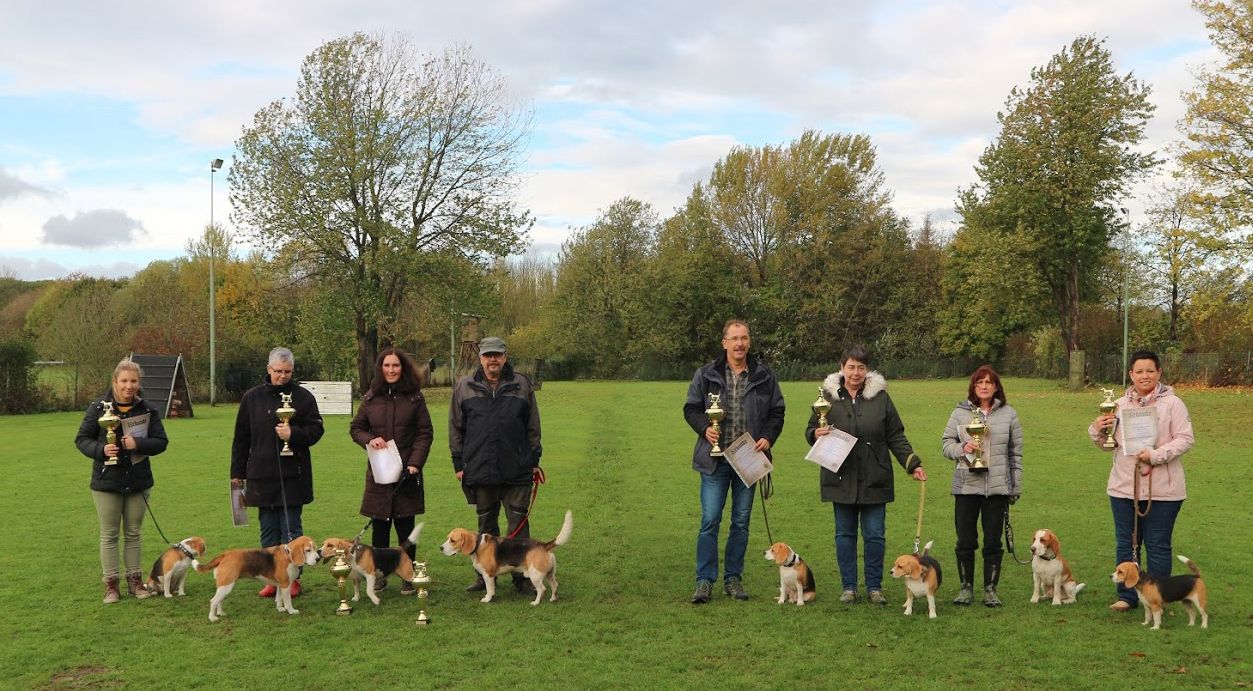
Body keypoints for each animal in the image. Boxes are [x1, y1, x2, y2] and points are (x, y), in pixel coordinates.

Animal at [443, 509, 573, 606]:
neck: (478, 544)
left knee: (542, 589)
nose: (440, 548)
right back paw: (553, 599)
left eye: (453, 540)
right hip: (549, 573)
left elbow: (490, 589)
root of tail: (544, 545)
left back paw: (536, 602)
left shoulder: (488, 575)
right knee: (555, 585)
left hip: (535, 575)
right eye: (448, 538)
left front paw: (487, 599)